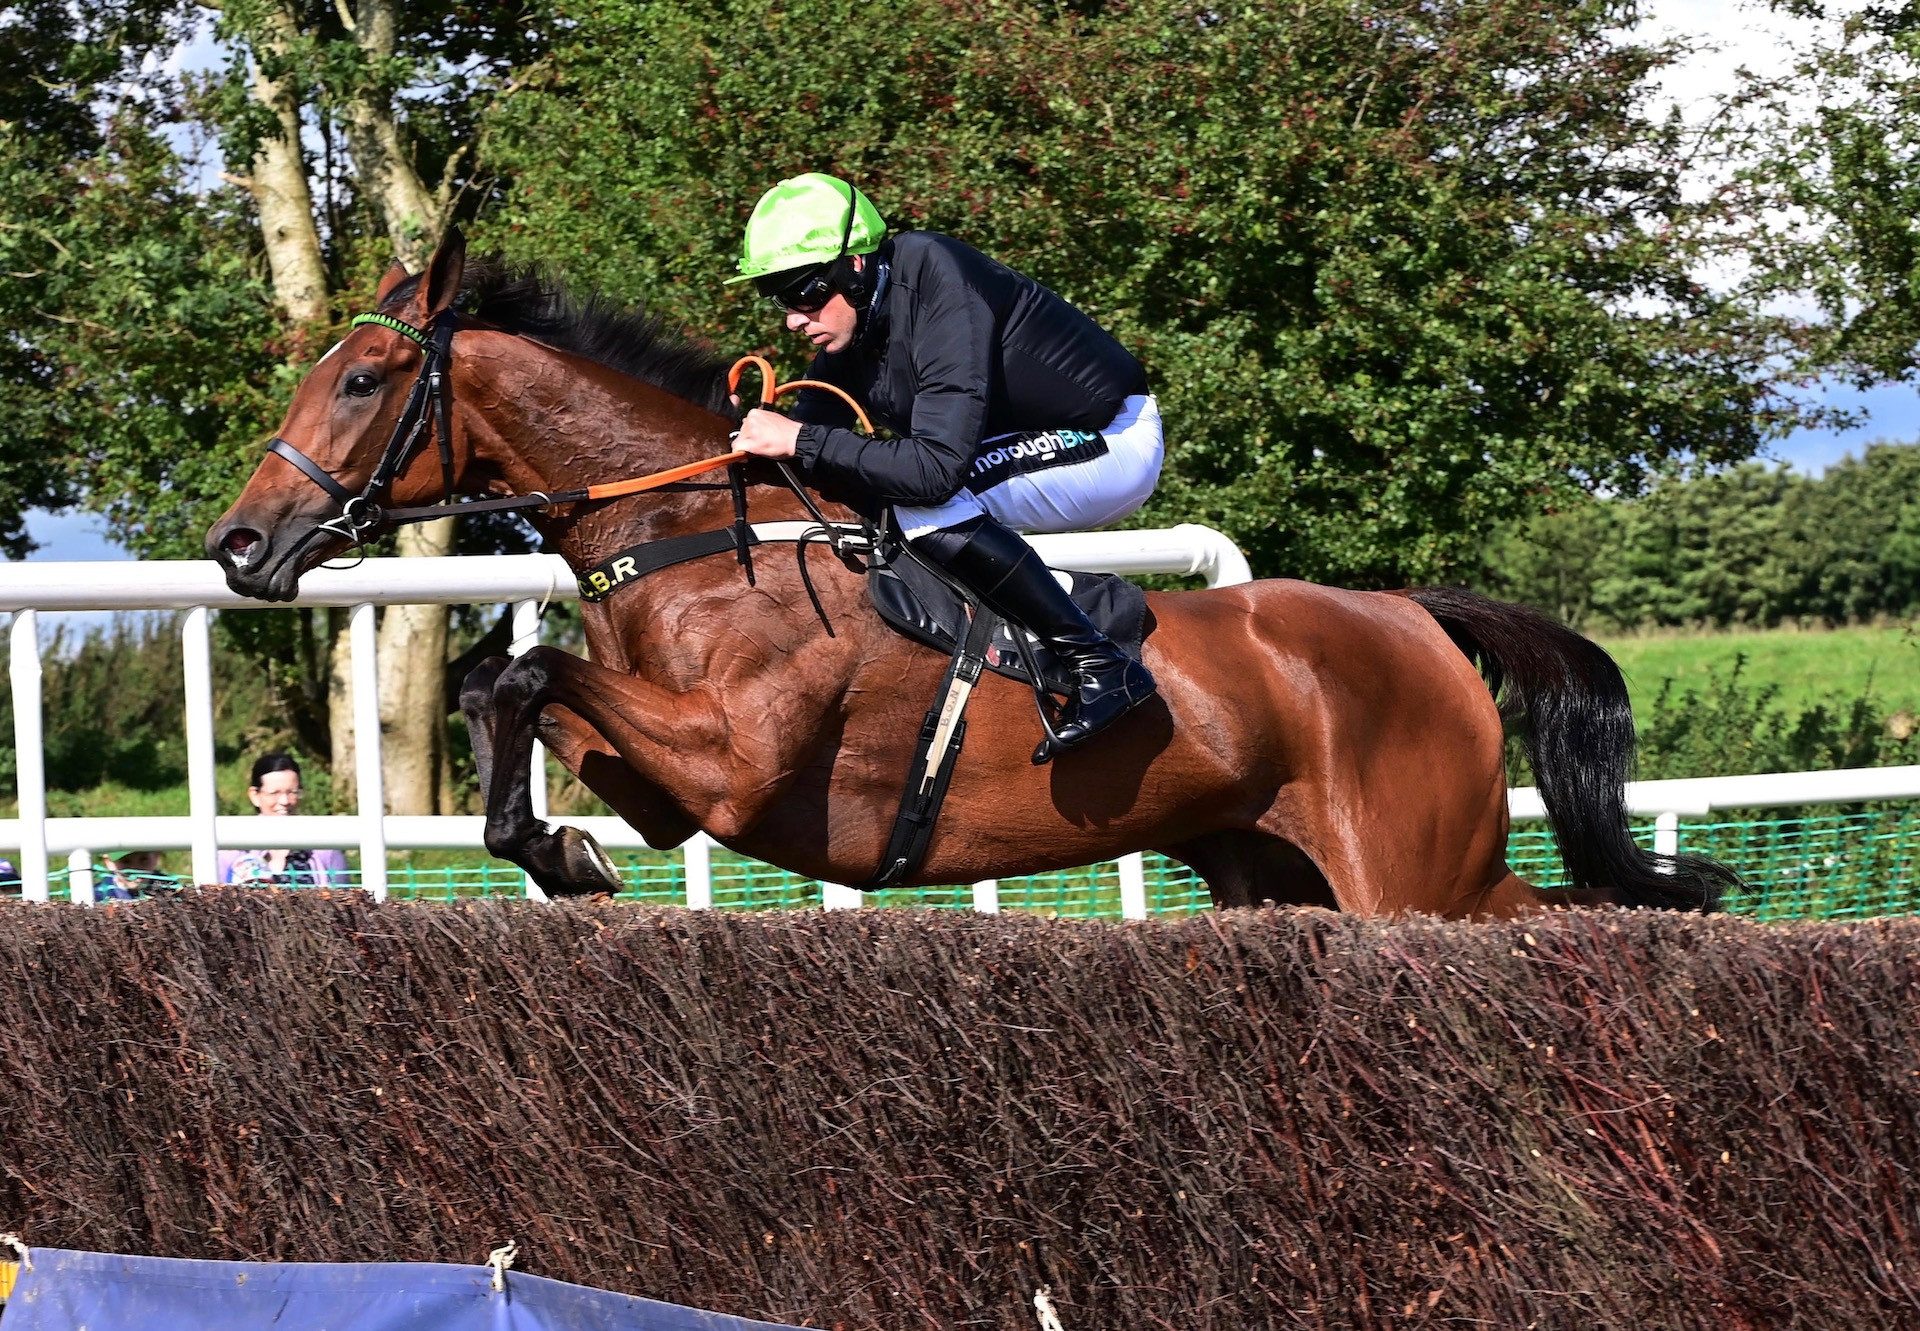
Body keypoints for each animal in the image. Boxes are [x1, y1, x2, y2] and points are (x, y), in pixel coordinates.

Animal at [206, 231, 1743, 914]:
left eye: (358, 380)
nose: (239, 544)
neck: (701, 536)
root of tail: (1409, 621)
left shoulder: (735, 763)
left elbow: (526, 667)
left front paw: (553, 846)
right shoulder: (672, 784)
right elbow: (507, 683)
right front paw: (555, 847)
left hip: (1424, 874)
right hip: (1278, 874)